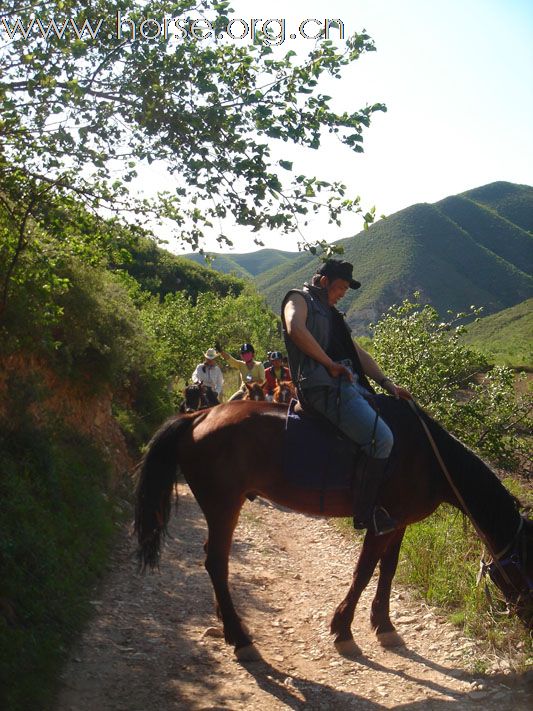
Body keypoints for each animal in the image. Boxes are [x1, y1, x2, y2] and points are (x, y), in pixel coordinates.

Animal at [134, 400, 532, 660]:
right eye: (527, 569)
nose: (529, 626)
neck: (428, 459)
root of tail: (197, 416)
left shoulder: (398, 522)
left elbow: (388, 570)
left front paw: (384, 625)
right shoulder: (382, 522)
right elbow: (363, 571)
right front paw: (343, 629)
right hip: (223, 506)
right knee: (216, 562)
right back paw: (239, 636)